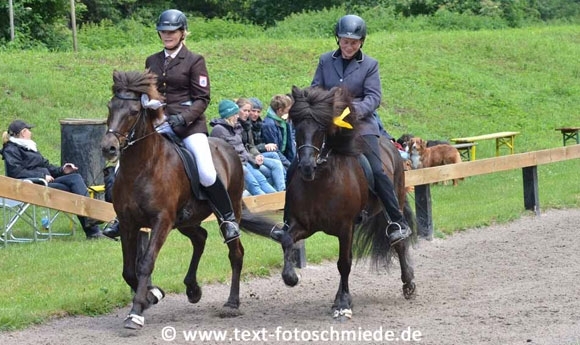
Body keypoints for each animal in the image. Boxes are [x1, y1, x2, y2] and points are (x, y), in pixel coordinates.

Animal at [101, 70, 276, 328]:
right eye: (110, 107)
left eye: (133, 112)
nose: (108, 148)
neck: (141, 167)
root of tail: (229, 149)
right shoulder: (127, 223)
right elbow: (129, 270)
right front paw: (152, 295)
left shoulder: (161, 221)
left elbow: (145, 263)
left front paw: (136, 313)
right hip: (186, 221)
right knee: (200, 238)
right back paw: (193, 289)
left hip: (228, 209)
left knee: (235, 252)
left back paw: (231, 303)